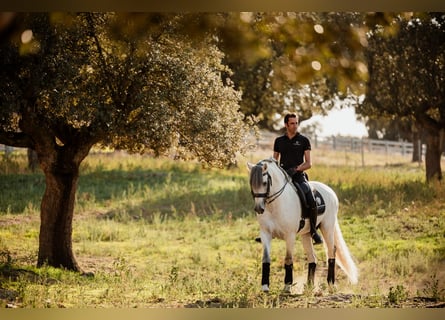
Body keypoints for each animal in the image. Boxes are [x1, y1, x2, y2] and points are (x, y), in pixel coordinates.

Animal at [246, 158, 358, 292]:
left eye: (264, 183)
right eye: (251, 183)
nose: (259, 208)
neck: (275, 205)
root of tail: (330, 190)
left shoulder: (290, 235)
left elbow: (288, 259)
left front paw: (287, 286)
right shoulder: (265, 234)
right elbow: (266, 259)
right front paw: (265, 286)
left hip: (327, 227)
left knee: (332, 251)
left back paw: (331, 283)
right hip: (306, 234)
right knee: (312, 258)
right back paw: (309, 286)